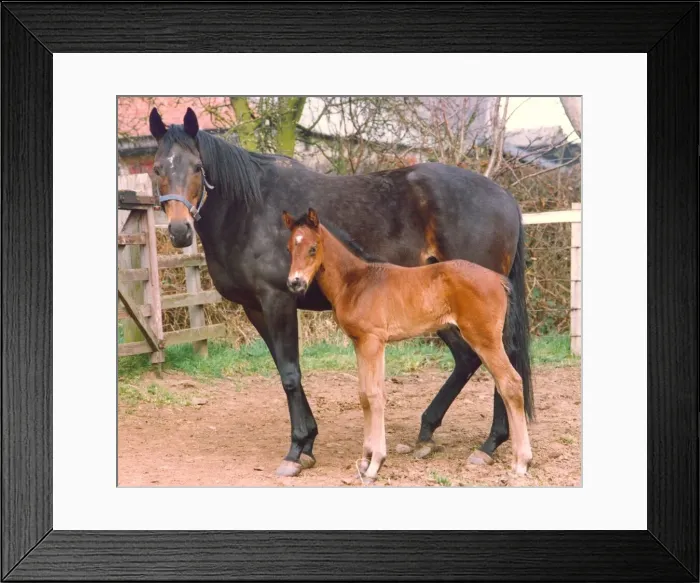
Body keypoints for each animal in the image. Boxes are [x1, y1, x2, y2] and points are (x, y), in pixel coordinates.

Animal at [283, 208, 533, 479]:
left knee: (511, 382)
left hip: (485, 339)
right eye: (289, 247)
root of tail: (499, 280)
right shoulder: (361, 343)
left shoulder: (373, 342)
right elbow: (364, 395)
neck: (357, 281)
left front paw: (375, 463)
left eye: (313, 248)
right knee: (504, 383)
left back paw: (521, 462)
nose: (295, 283)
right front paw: (365, 460)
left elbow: (375, 395)